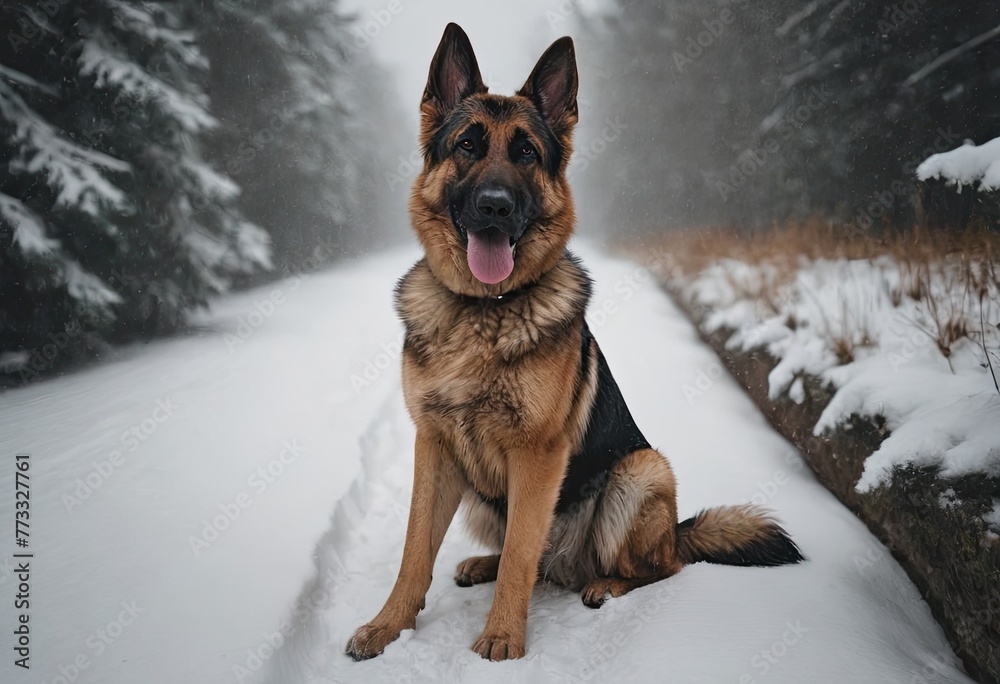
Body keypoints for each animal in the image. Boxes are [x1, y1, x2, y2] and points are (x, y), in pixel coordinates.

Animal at [348, 22, 800, 664]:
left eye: (526, 154)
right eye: (467, 145)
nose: (494, 207)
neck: (484, 310)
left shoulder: (537, 455)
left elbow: (520, 554)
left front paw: (502, 638)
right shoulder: (433, 446)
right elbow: (415, 552)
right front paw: (388, 626)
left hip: (640, 473)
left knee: (657, 567)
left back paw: (606, 583)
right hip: (484, 497)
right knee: (537, 561)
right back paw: (485, 565)